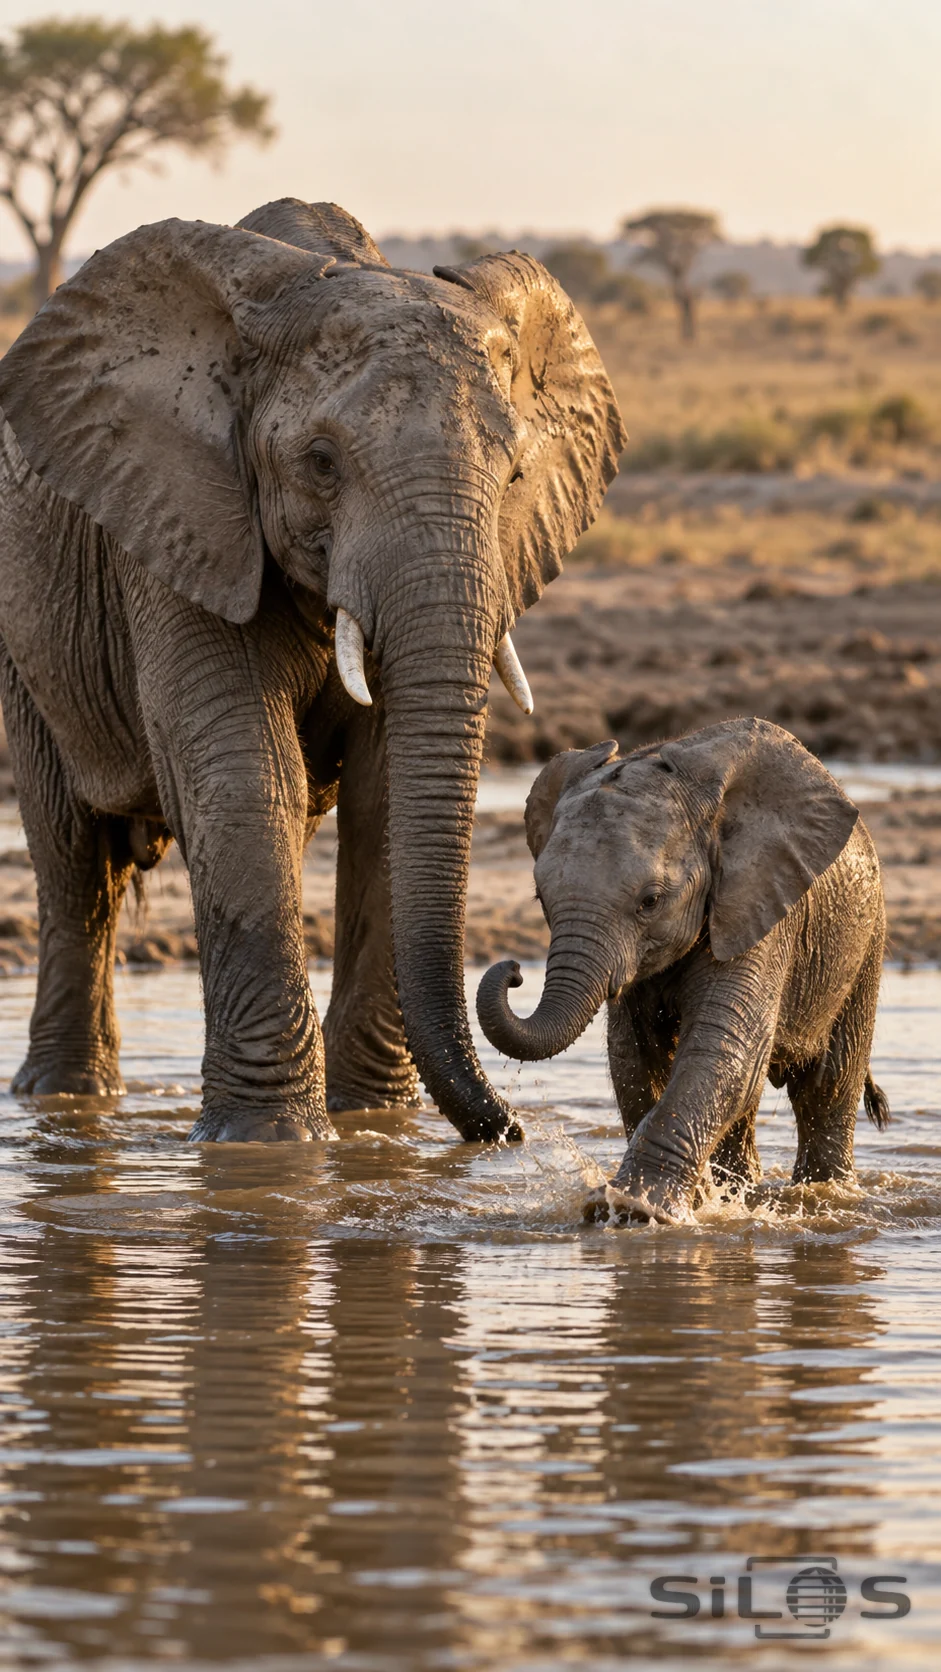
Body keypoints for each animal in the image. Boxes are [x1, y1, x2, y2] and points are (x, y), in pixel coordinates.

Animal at [0, 197, 626, 1143]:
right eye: (321, 464)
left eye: (515, 471)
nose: (510, 1130)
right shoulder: (184, 519)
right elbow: (242, 778)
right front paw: (266, 1145)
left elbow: (382, 795)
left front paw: (373, 1128)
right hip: (25, 635)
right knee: (75, 864)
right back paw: (62, 1103)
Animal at [476, 718, 890, 1223]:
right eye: (541, 898)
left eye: (650, 901)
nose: (514, 970)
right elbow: (634, 1058)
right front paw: (679, 1205)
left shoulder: (756, 911)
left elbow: (721, 1051)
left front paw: (636, 1209)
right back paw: (741, 1196)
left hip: (864, 942)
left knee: (826, 1087)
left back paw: (827, 1197)